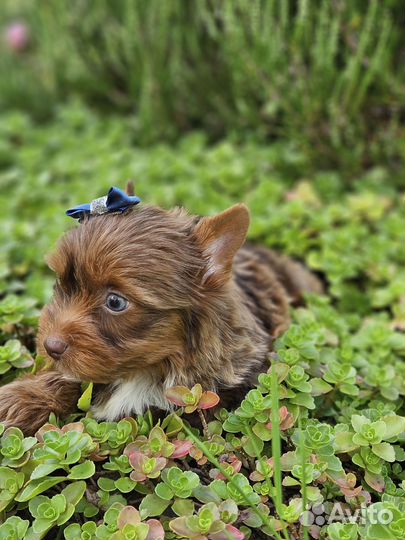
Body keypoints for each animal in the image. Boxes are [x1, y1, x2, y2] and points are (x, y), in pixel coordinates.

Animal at [0, 196, 322, 432]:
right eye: (62, 284)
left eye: (115, 302)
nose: (50, 346)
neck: (153, 365)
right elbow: (76, 377)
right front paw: (17, 400)